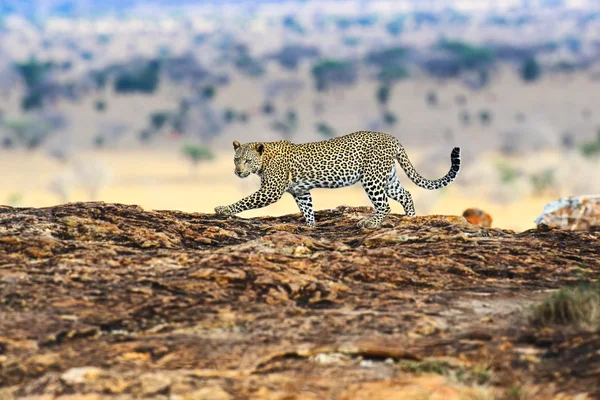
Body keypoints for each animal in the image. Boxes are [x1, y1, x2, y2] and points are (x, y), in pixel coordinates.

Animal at [214, 131, 460, 228]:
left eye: (247, 161)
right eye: (236, 159)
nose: (238, 172)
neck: (264, 159)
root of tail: (392, 138)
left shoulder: (271, 191)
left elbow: (245, 201)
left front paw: (223, 209)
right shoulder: (301, 192)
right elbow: (308, 209)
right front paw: (311, 227)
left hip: (371, 178)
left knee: (385, 205)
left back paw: (370, 223)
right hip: (387, 178)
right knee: (406, 194)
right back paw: (411, 218)